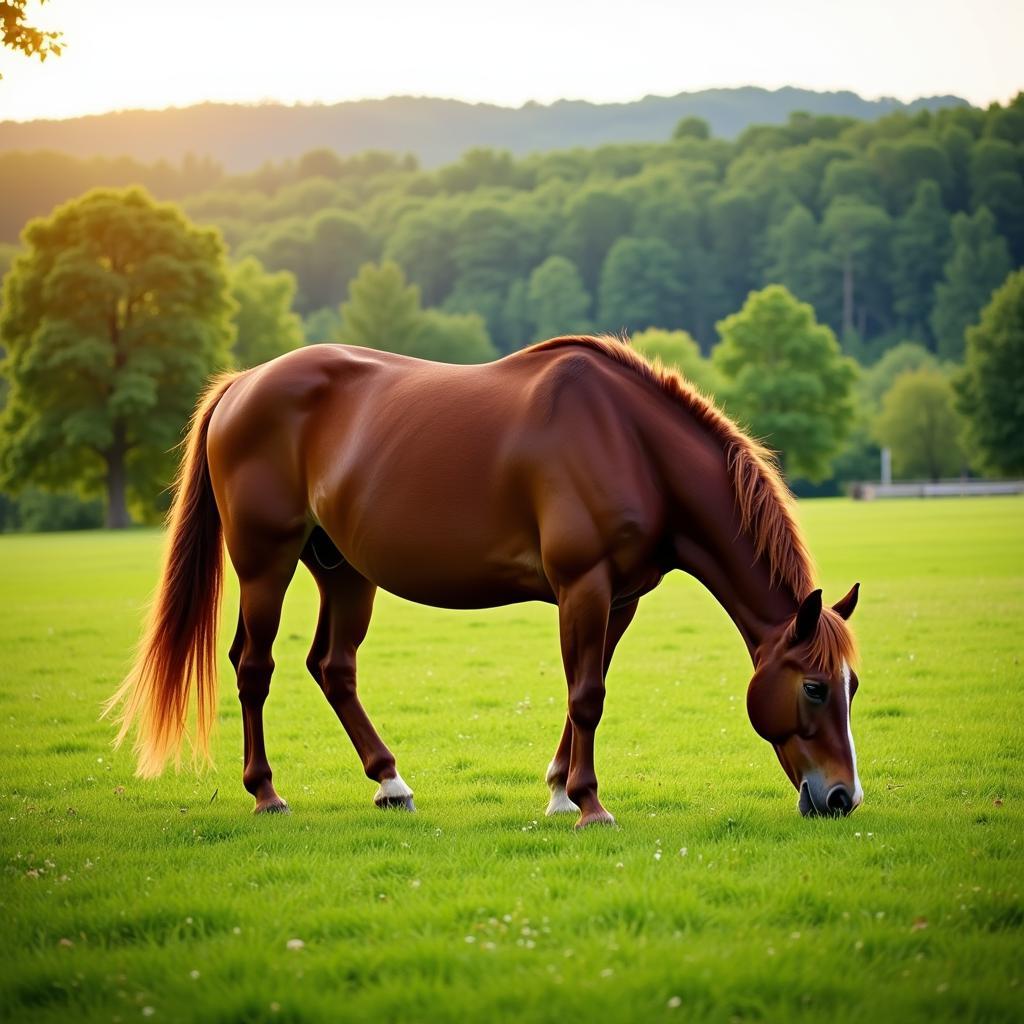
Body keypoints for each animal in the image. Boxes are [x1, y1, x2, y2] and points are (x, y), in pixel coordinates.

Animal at [103, 331, 860, 827]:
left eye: (852, 685)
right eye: (814, 687)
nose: (842, 798)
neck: (628, 442)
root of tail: (242, 385)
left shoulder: (618, 599)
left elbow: (585, 690)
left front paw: (559, 791)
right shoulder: (583, 586)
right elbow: (587, 696)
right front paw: (589, 804)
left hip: (343, 571)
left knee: (333, 667)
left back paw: (390, 783)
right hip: (266, 562)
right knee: (253, 667)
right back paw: (266, 793)